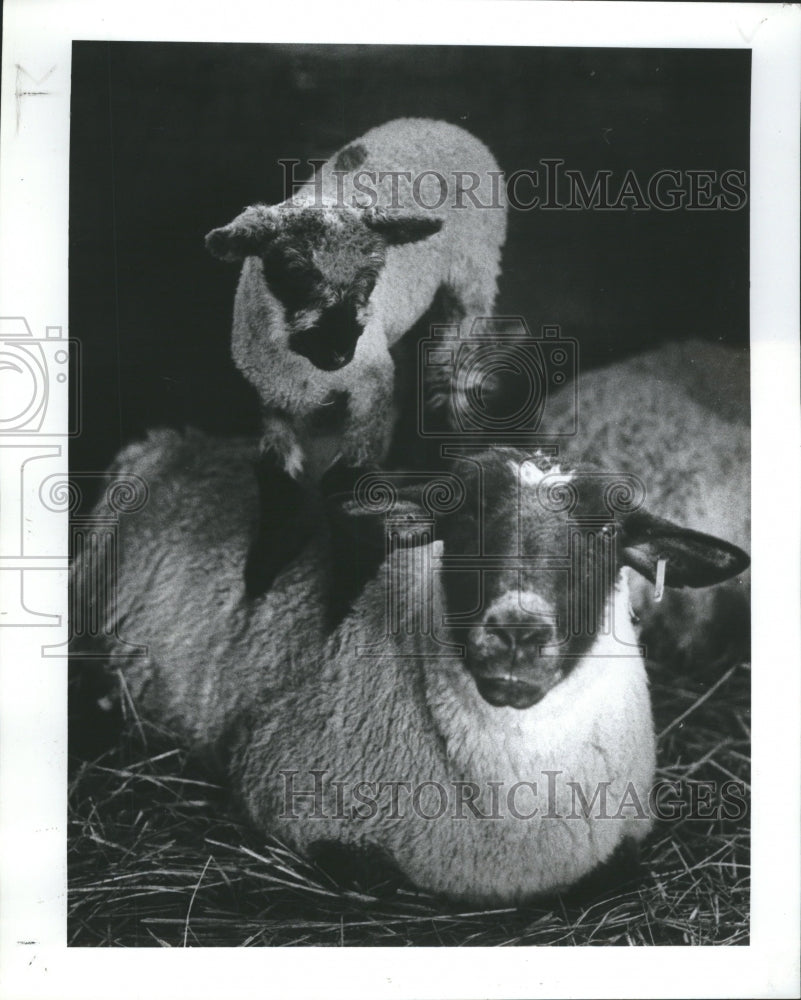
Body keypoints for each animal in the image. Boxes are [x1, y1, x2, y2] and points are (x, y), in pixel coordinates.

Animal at [78, 434, 748, 904]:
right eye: (464, 518)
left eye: (607, 531)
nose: (516, 632)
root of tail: (180, 438)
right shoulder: (290, 796)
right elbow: (376, 878)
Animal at [206, 121, 506, 596]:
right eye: (293, 272)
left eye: (371, 275)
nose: (340, 350)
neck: (303, 365)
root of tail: (440, 124)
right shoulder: (271, 396)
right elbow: (277, 477)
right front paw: (263, 568)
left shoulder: (369, 385)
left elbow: (346, 481)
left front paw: (347, 580)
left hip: (472, 276)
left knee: (458, 371)